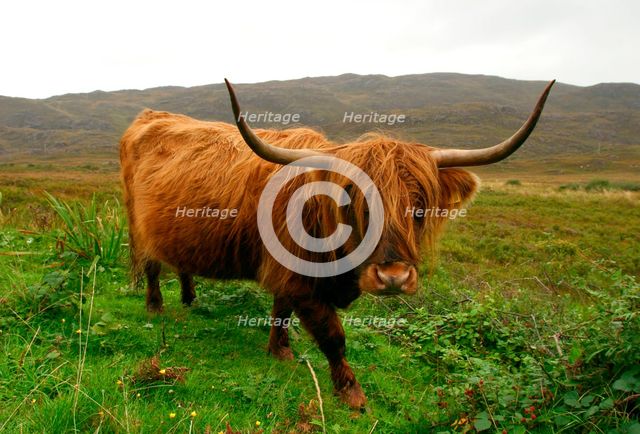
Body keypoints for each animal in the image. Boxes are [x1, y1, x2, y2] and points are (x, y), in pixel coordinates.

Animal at [119, 79, 554, 408]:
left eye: (419, 209)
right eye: (355, 205)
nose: (393, 277)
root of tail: (149, 116)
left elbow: (281, 311)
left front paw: (280, 350)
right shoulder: (299, 279)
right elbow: (333, 336)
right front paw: (351, 393)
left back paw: (190, 298)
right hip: (136, 223)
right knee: (151, 264)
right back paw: (156, 306)